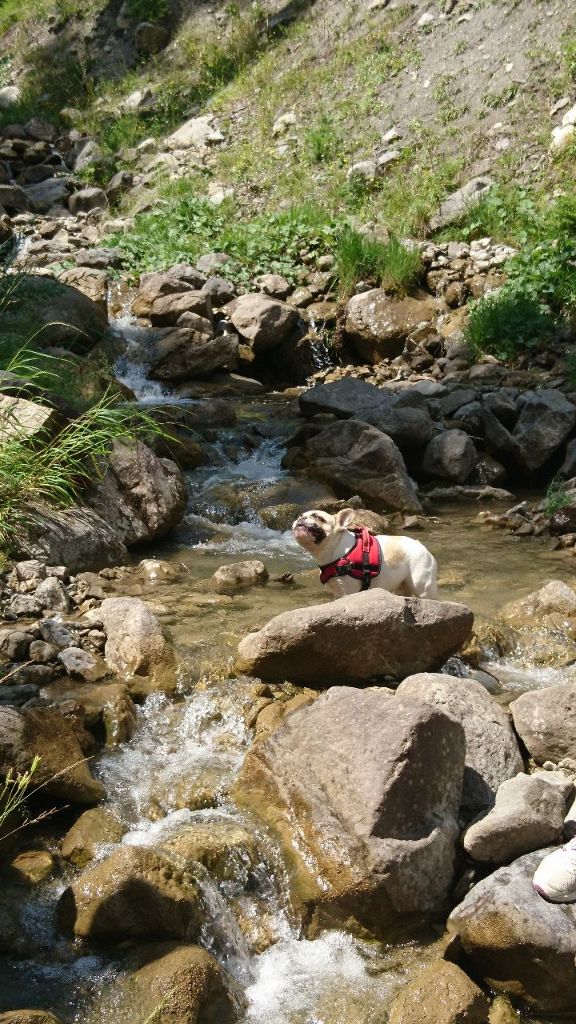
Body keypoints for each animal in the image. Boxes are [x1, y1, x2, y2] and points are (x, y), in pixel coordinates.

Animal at [291, 505, 434, 598]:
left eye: (317, 517)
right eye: (300, 516)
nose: (300, 518)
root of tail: (421, 546)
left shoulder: (348, 592)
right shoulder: (338, 593)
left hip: (422, 585)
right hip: (403, 586)